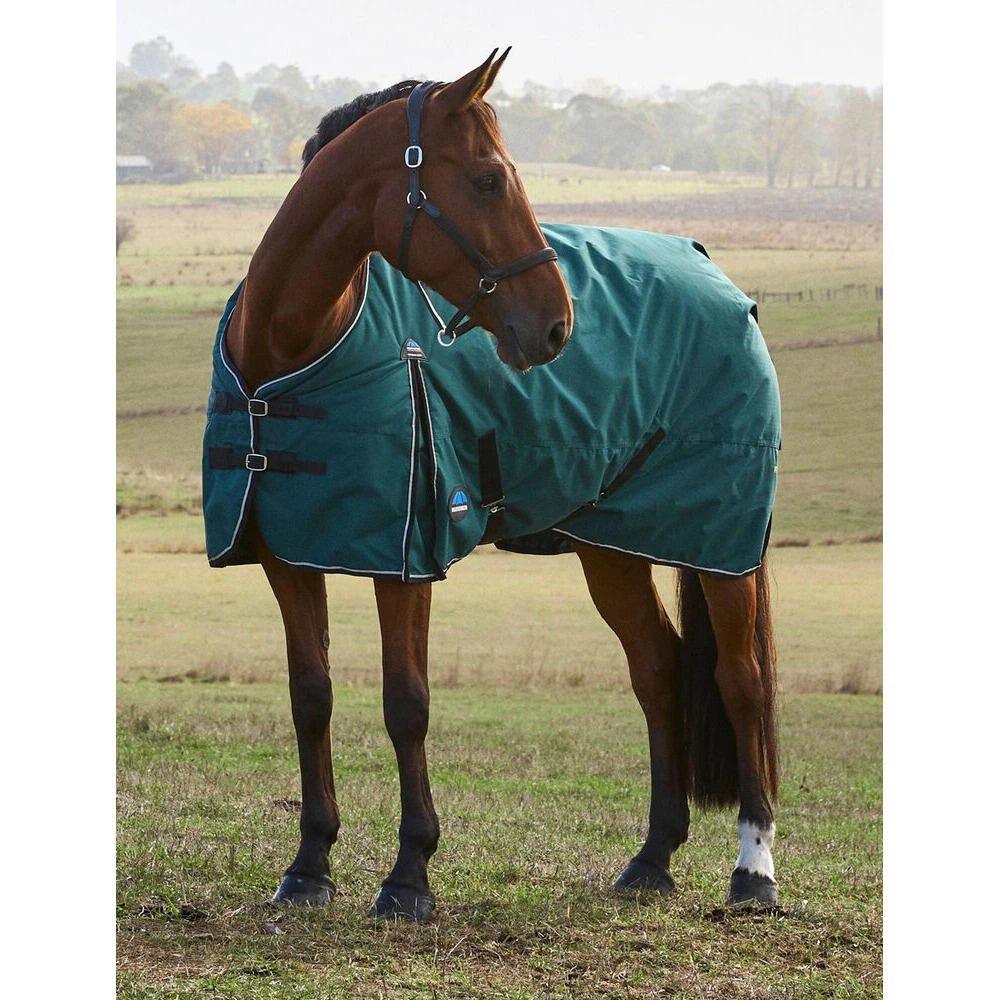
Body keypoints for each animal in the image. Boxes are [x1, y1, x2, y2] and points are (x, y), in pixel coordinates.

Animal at [203, 49, 780, 923]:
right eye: (485, 180)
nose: (556, 326)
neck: (293, 347)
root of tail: (716, 275)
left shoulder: (405, 559)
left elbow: (407, 704)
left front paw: (409, 875)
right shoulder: (288, 556)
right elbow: (312, 698)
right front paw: (309, 866)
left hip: (720, 546)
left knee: (739, 682)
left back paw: (754, 871)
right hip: (613, 547)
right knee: (658, 671)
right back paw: (651, 859)